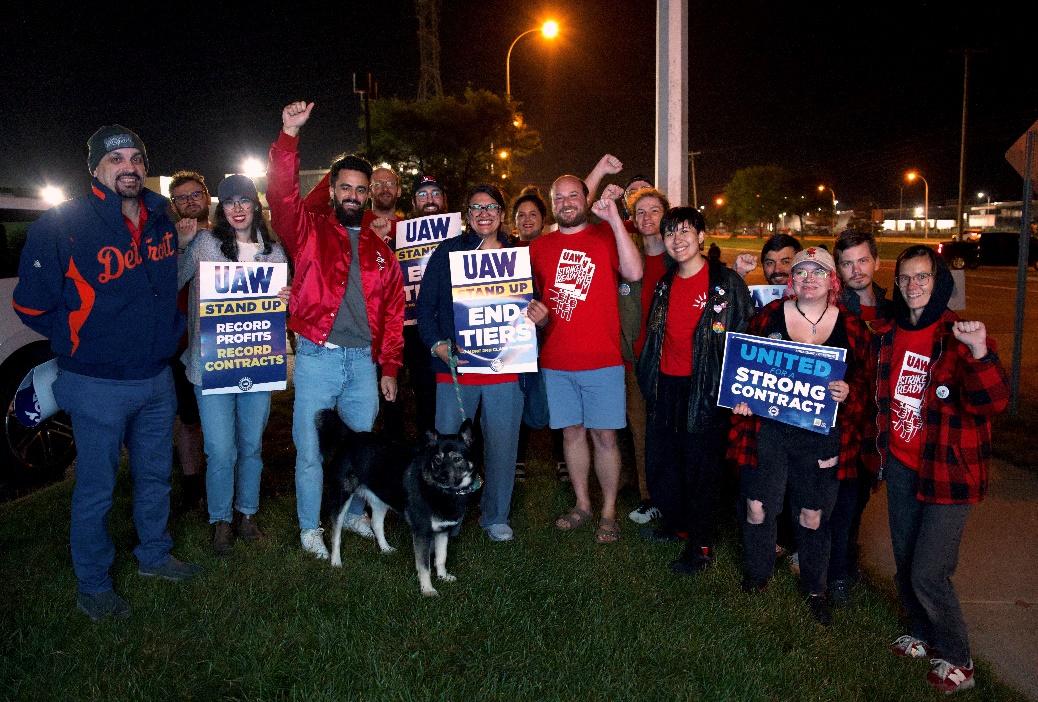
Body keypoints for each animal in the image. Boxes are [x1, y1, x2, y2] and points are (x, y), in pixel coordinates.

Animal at [317, 411, 479, 598]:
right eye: (437, 460)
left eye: (457, 459)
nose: (442, 478)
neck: (440, 492)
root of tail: (352, 436)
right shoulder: (422, 532)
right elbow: (424, 566)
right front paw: (427, 589)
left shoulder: (443, 531)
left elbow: (441, 557)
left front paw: (443, 576)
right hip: (342, 497)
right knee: (336, 533)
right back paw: (336, 561)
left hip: (380, 499)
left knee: (376, 524)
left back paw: (385, 548)